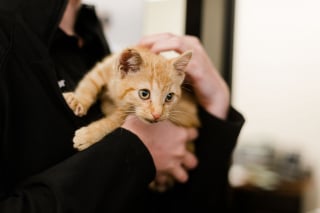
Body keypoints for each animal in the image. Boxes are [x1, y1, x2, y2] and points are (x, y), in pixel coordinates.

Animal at [63, 47, 201, 192]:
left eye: (169, 97)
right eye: (144, 94)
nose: (157, 115)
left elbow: (115, 119)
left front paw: (89, 134)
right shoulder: (105, 67)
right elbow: (91, 81)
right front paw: (78, 100)